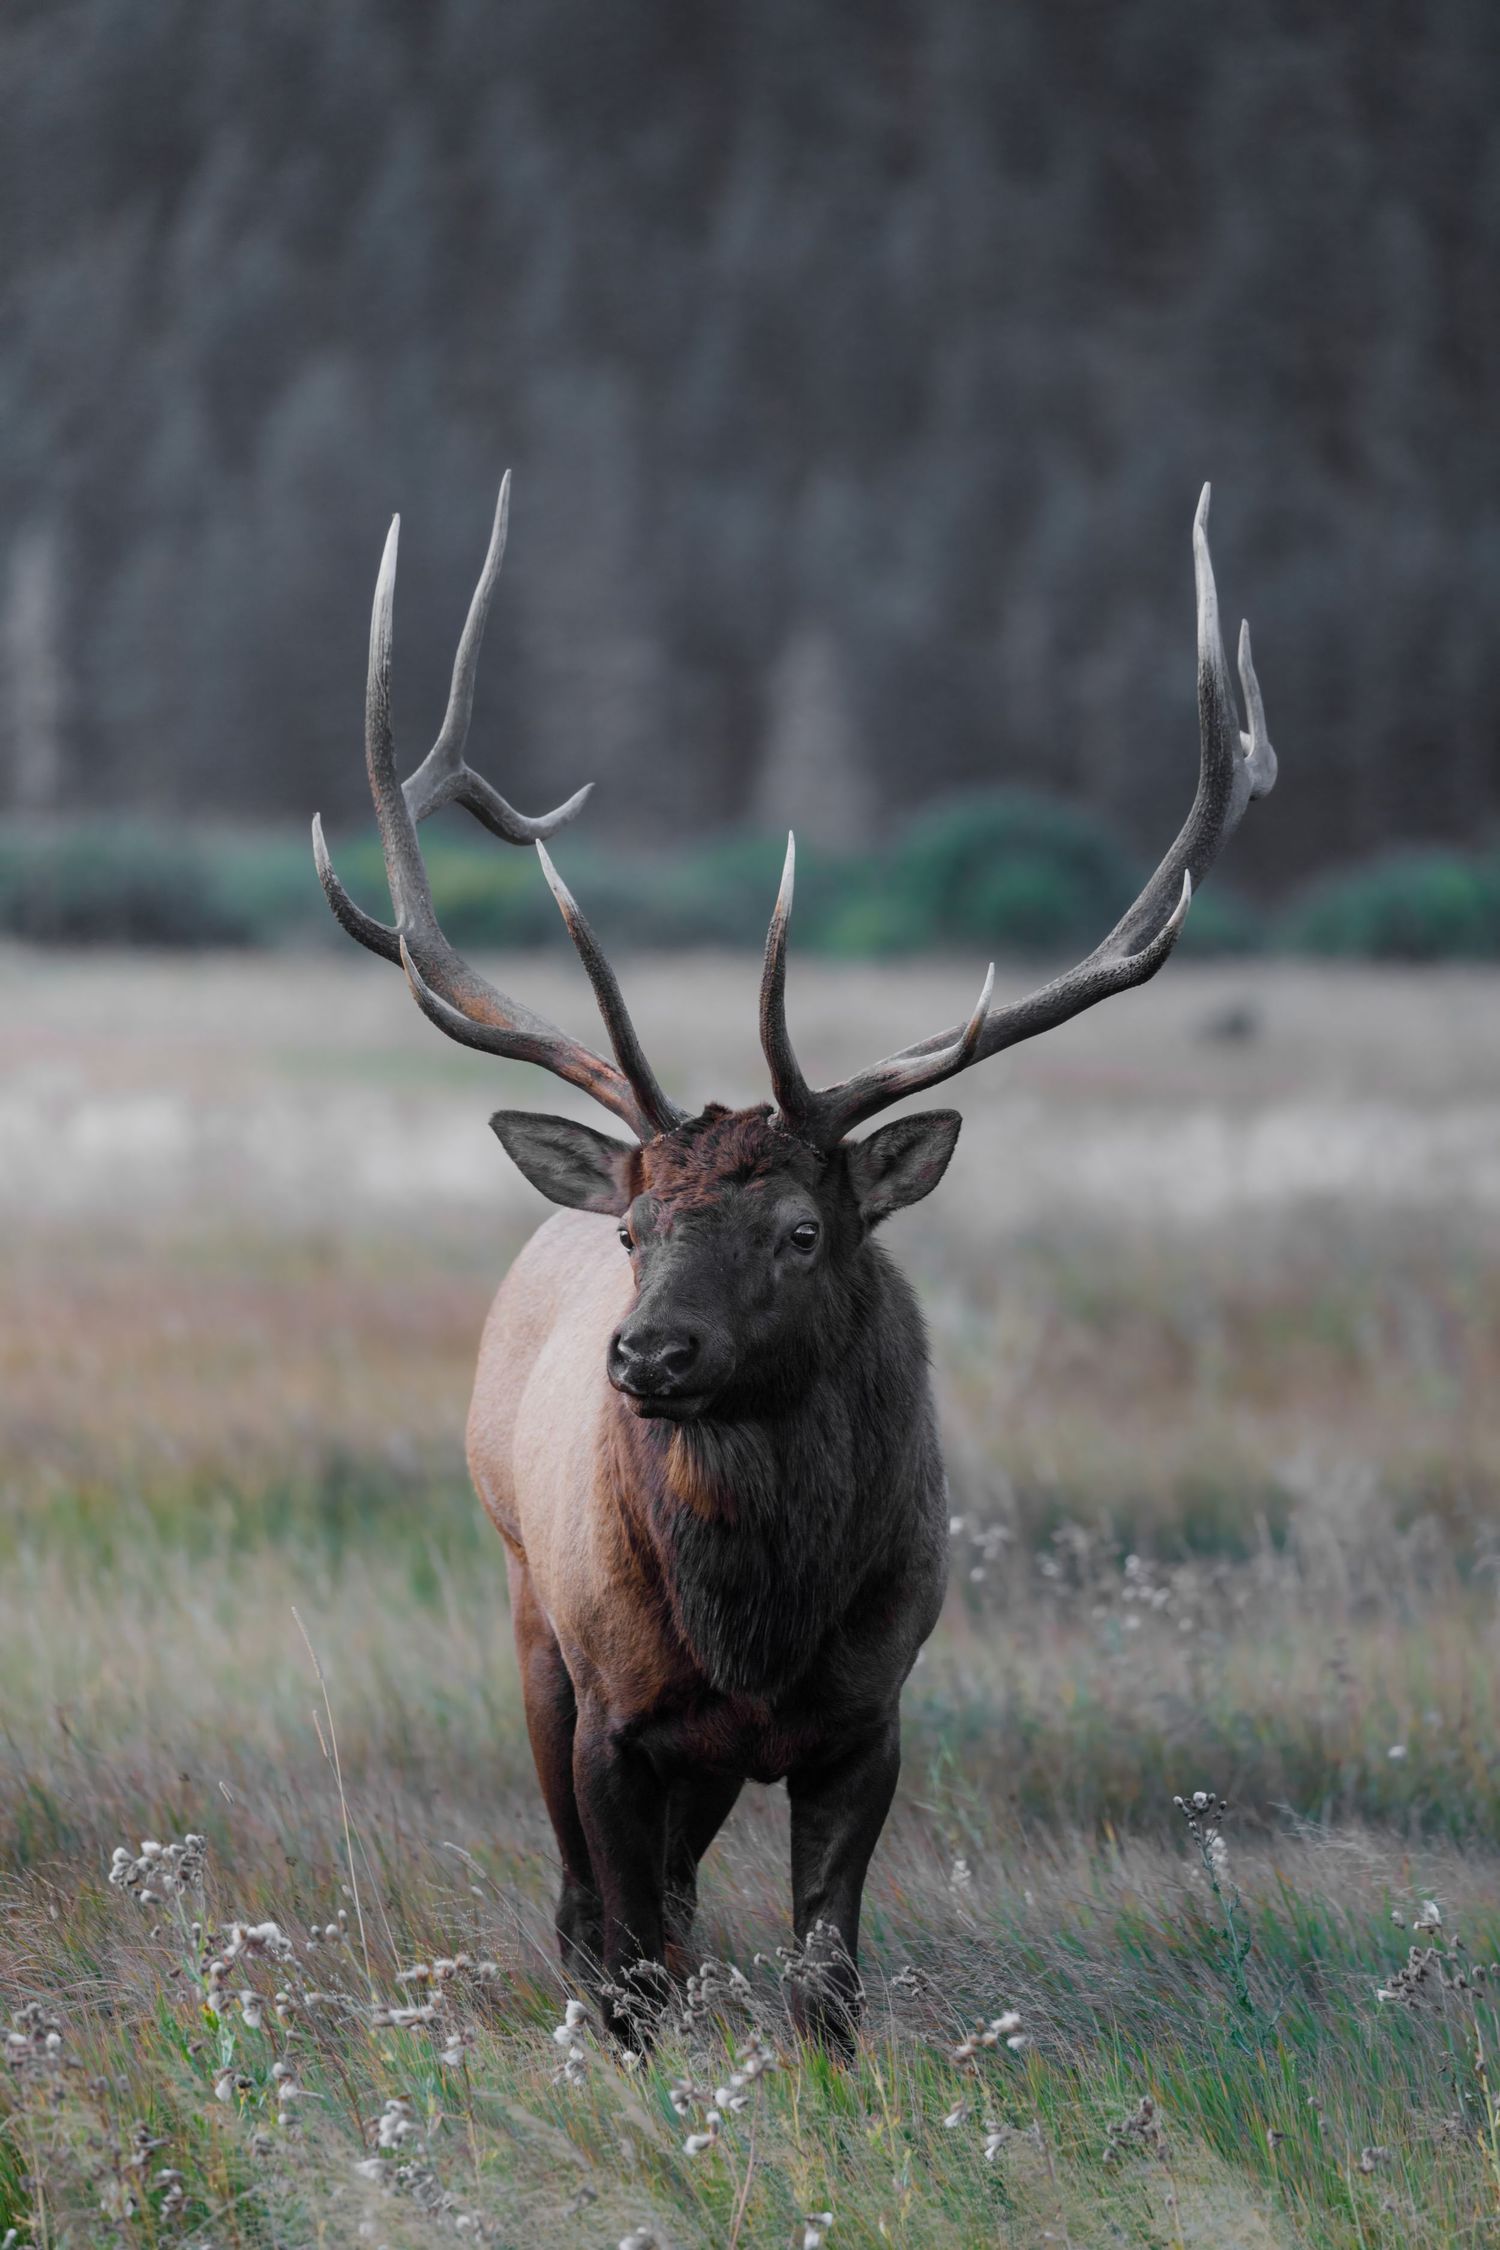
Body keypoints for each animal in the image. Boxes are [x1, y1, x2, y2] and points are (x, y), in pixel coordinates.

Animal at [312, 476, 1276, 2050]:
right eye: (637, 1231)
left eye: (803, 1231)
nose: (646, 1353)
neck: (753, 1634)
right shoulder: (613, 1708)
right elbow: (632, 1964)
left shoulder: (869, 1713)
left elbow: (826, 1975)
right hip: (524, 1602)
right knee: (588, 1903)